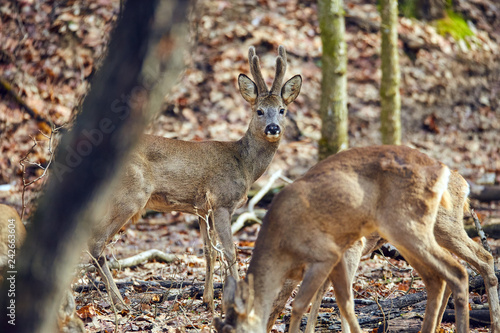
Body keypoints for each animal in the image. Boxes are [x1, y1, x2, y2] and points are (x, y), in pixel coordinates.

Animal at [88, 45, 302, 310]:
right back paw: (120, 304)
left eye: (282, 110)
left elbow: (209, 251)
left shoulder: (202, 209)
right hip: (131, 194)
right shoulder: (221, 201)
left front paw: (208, 300)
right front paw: (236, 302)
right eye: (259, 111)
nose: (273, 128)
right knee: (96, 242)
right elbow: (230, 251)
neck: (244, 165)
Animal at [216, 145, 472, 332]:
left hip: (419, 229)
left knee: (464, 266)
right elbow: (331, 299)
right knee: (441, 276)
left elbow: (316, 302)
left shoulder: (341, 250)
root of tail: (460, 181)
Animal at [270, 169, 500, 332]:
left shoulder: (353, 247)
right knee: (454, 269)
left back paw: (494, 325)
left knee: (484, 257)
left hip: (443, 228)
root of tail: (464, 185)